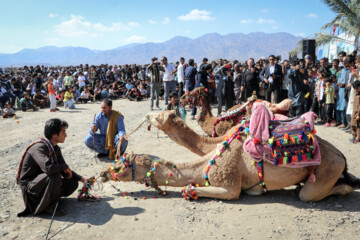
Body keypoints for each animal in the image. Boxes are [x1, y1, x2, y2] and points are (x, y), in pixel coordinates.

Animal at [99, 126, 360, 202]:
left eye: (119, 165)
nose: (102, 173)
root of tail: (342, 156)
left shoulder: (230, 184)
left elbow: (192, 188)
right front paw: (257, 190)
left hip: (328, 168)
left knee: (310, 193)